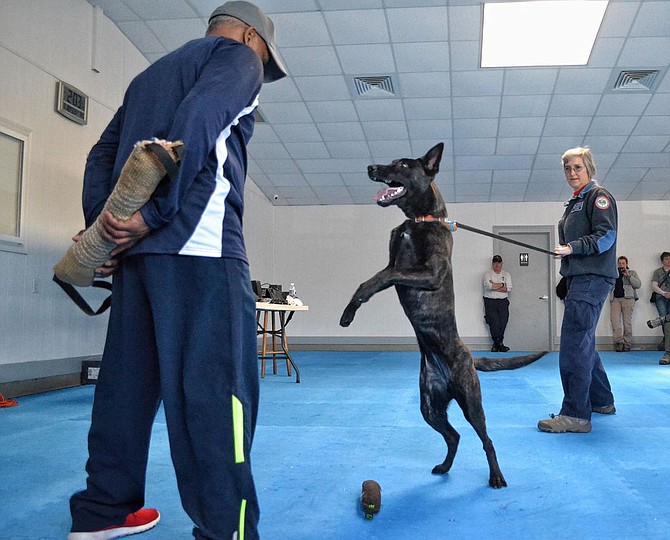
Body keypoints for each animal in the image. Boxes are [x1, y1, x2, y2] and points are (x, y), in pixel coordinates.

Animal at [342, 143, 544, 490]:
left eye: (403, 165)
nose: (371, 168)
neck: (417, 219)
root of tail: (470, 358)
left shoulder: (428, 273)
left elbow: (378, 279)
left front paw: (350, 310)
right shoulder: (394, 264)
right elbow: (376, 278)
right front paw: (349, 311)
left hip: (471, 402)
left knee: (485, 439)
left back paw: (496, 476)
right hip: (429, 406)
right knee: (454, 436)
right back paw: (445, 467)